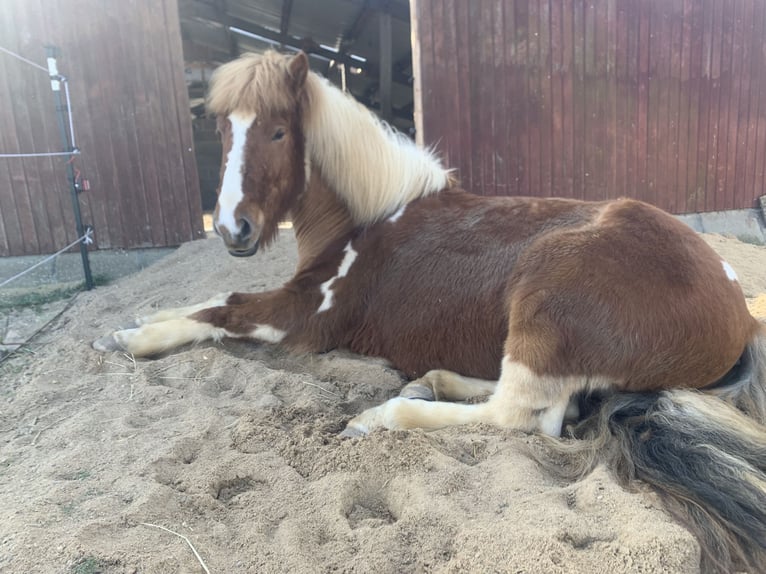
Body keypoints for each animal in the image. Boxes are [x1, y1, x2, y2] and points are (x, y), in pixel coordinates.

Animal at [93, 51, 766, 573]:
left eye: (279, 132)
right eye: (224, 132)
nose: (232, 229)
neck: (368, 220)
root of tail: (738, 311)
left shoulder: (305, 316)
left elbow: (223, 310)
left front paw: (131, 340)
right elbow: (203, 300)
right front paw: (128, 325)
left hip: (544, 301)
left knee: (523, 418)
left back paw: (381, 415)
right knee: (546, 408)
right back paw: (428, 380)